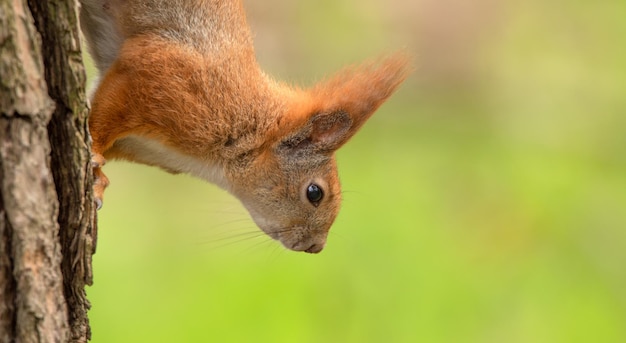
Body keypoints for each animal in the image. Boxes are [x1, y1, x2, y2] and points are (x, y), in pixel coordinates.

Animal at [79, 0, 410, 253]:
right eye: (315, 192)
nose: (316, 247)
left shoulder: (139, 144)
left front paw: (100, 177)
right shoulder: (157, 75)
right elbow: (105, 117)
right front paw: (94, 156)